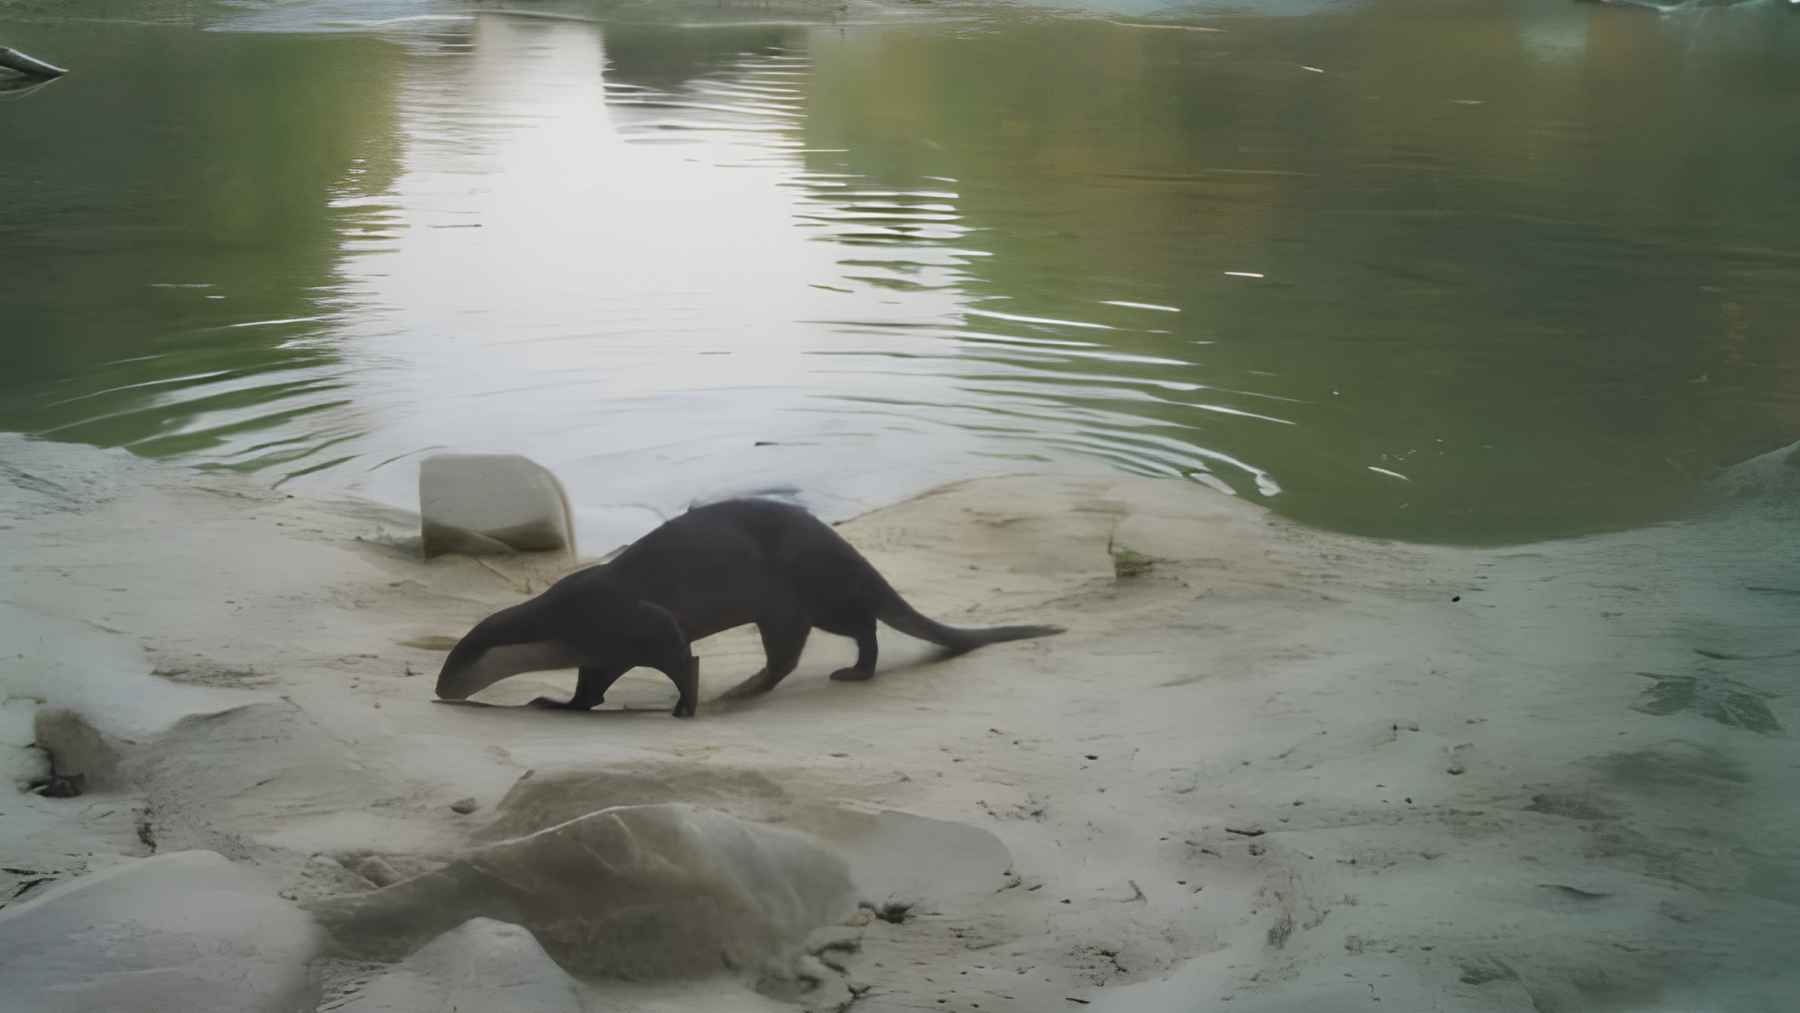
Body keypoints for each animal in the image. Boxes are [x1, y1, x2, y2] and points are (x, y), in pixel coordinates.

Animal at [433, 499, 1062, 716]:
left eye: (456, 662)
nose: (439, 690)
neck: (563, 622)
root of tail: (840, 546)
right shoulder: (604, 650)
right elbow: (590, 688)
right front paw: (555, 702)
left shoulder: (628, 617)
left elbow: (676, 650)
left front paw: (685, 706)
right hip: (805, 602)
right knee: (839, 633)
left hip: (803, 592)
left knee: (836, 635)